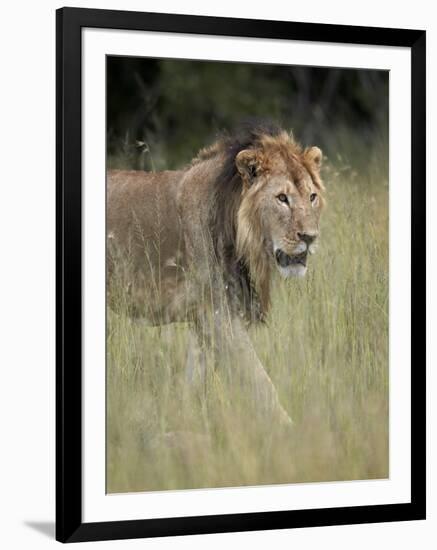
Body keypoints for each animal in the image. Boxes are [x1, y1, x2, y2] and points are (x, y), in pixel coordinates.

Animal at [106, 123, 324, 434]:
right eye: (282, 198)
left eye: (312, 196)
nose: (310, 237)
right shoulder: (219, 313)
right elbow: (259, 379)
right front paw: (291, 431)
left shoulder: (205, 315)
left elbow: (193, 379)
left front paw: (182, 423)